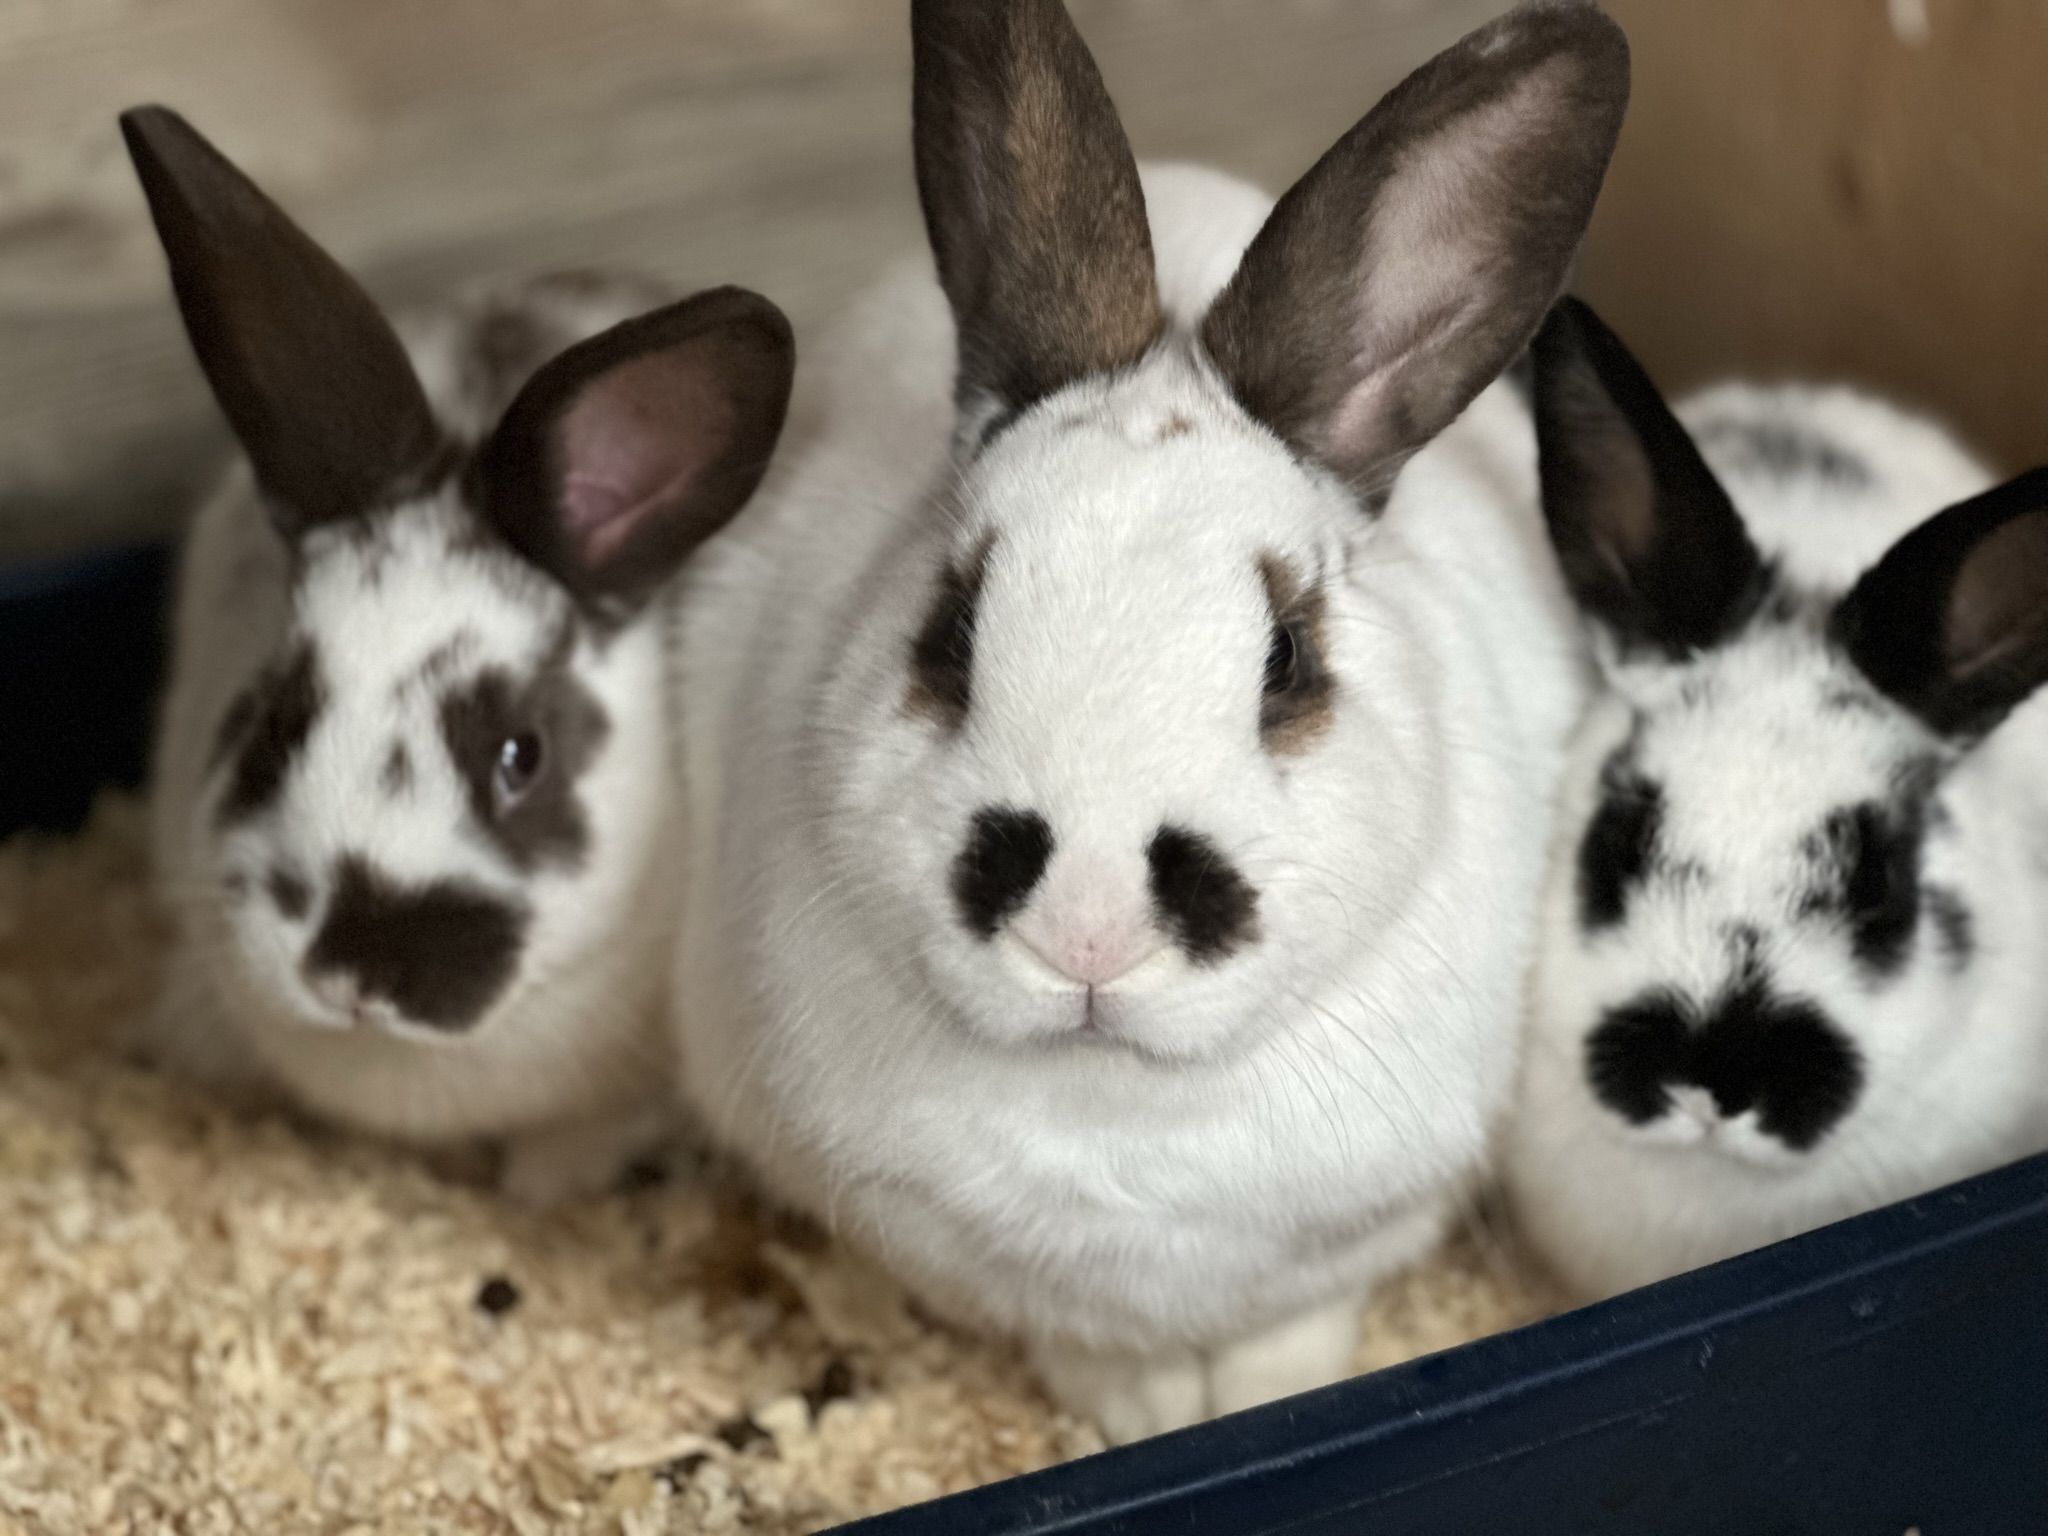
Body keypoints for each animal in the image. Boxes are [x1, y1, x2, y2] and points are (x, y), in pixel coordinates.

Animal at [667, 0, 1629, 1442]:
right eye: (949, 630)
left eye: (1287, 659)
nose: (1087, 930)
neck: (1120, 1110)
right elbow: (1089, 1350)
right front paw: (1149, 1417)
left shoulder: (1355, 1234)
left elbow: (1292, 1333)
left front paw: (1263, 1401)